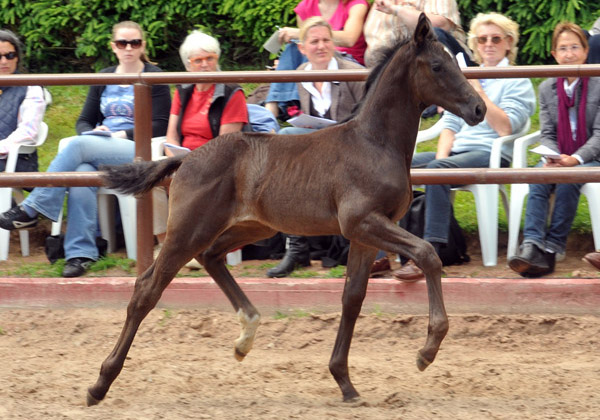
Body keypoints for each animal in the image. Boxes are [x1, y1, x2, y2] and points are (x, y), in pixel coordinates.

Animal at [88, 14, 482, 406]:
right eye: (437, 65)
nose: (478, 109)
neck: (375, 143)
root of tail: (184, 159)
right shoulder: (362, 222)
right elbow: (427, 254)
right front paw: (427, 351)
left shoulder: (365, 234)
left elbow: (353, 297)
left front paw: (344, 381)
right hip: (189, 229)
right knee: (147, 288)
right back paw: (100, 384)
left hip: (251, 227)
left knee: (211, 256)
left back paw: (246, 336)